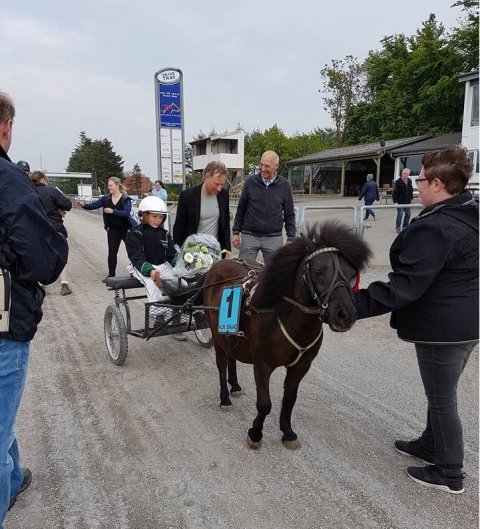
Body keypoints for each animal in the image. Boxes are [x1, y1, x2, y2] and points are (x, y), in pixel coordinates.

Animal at [202, 221, 372, 448]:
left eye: (352, 273)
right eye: (318, 270)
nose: (345, 314)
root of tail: (221, 263)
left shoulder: (301, 366)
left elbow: (290, 399)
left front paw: (287, 431)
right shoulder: (262, 364)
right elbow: (264, 404)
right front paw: (255, 433)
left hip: (229, 334)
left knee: (232, 357)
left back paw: (235, 385)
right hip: (215, 332)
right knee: (221, 363)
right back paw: (225, 398)